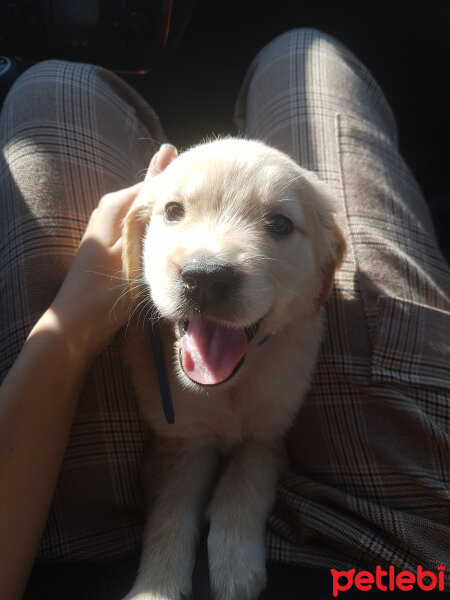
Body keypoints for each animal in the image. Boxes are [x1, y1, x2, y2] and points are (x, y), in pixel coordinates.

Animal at [119, 138, 344, 596]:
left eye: (280, 224)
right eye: (173, 211)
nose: (205, 278)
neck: (225, 387)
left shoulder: (269, 436)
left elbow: (241, 487)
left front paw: (235, 564)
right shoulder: (179, 442)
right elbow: (169, 512)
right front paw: (156, 585)